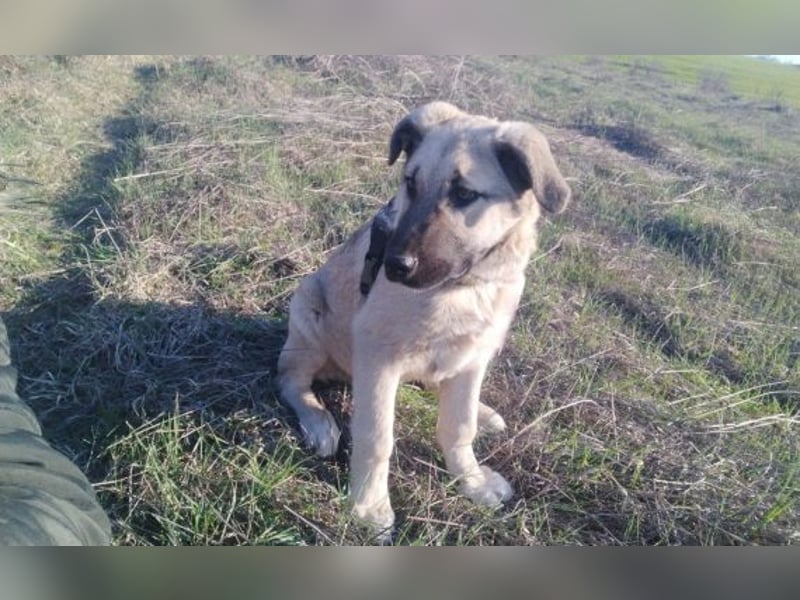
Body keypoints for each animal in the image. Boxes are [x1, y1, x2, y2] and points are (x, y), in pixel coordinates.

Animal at [277, 101, 571, 535]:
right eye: (410, 183)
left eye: (464, 194)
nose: (395, 265)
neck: (464, 287)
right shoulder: (378, 356)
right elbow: (377, 437)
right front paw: (368, 505)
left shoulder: (475, 354)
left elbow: (459, 425)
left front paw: (472, 481)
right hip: (308, 313)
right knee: (291, 381)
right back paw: (318, 421)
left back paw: (483, 411)